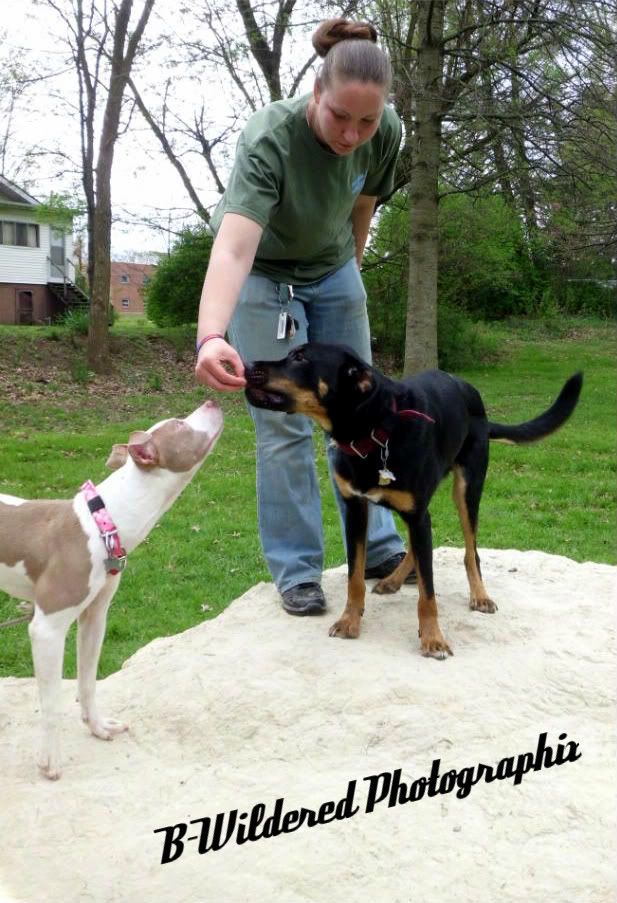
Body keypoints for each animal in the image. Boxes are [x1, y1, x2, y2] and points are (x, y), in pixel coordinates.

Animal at [0, 400, 223, 780]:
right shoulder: (47, 629)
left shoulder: (94, 617)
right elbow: (50, 703)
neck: (104, 522)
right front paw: (50, 760)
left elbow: (87, 680)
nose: (212, 401)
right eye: (180, 425)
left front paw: (97, 727)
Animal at [244, 343, 582, 658]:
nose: (247, 366)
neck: (373, 430)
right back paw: (393, 579)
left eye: (301, 358)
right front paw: (349, 621)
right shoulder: (356, 510)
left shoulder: (418, 514)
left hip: (467, 488)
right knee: (419, 548)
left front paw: (433, 639)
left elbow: (427, 592)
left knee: (470, 551)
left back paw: (480, 595)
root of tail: (472, 394)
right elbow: (356, 578)